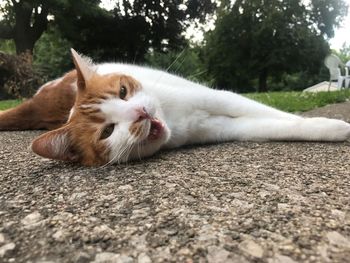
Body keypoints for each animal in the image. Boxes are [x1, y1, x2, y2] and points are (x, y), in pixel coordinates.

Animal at [0, 48, 350, 166]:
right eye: (108, 131)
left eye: (123, 92)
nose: (140, 114)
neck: (175, 120)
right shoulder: (223, 128)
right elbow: (272, 126)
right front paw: (333, 128)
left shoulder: (218, 97)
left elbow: (277, 115)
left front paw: (329, 123)